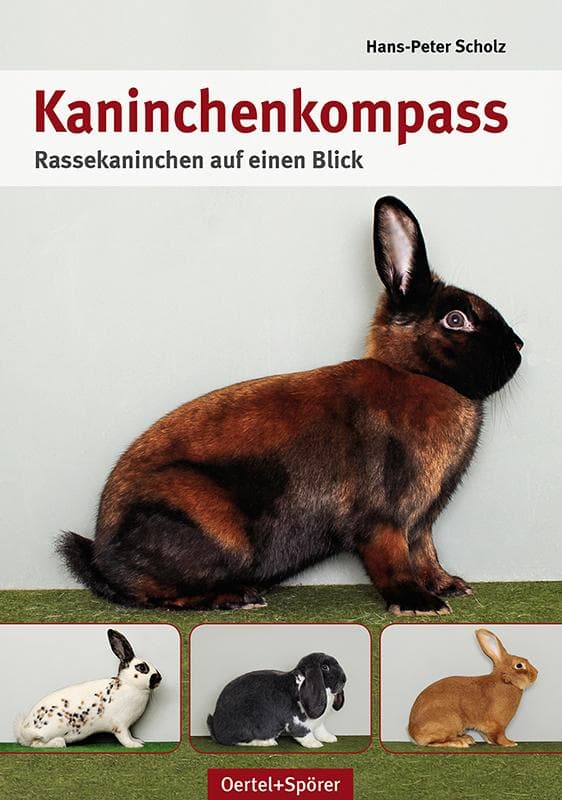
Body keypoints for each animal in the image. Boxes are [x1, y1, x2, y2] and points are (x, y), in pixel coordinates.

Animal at [15, 629, 162, 748]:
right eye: (141, 668)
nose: (159, 678)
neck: (130, 685)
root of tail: (24, 730)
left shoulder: (127, 726)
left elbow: (130, 734)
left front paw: (138, 740)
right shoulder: (120, 725)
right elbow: (124, 737)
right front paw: (134, 745)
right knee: (36, 744)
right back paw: (59, 743)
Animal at [59, 196, 523, 615]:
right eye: (456, 320)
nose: (519, 347)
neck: (417, 375)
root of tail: (102, 554)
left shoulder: (422, 522)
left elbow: (426, 553)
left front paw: (449, 586)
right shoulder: (384, 517)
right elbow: (393, 560)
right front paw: (418, 604)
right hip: (208, 526)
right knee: (150, 597)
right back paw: (236, 597)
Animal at [207, 652, 346, 748]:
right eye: (325, 667)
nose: (344, 679)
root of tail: (216, 730)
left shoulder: (318, 723)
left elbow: (320, 730)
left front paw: (330, 738)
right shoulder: (298, 722)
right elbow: (303, 734)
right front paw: (315, 744)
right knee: (239, 741)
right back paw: (267, 742)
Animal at [408, 629, 538, 748]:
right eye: (519, 665)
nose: (536, 673)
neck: (506, 680)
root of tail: (413, 734)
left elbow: (487, 736)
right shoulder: (498, 725)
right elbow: (499, 736)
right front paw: (510, 743)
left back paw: (467, 739)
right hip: (450, 721)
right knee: (434, 742)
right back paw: (461, 742)